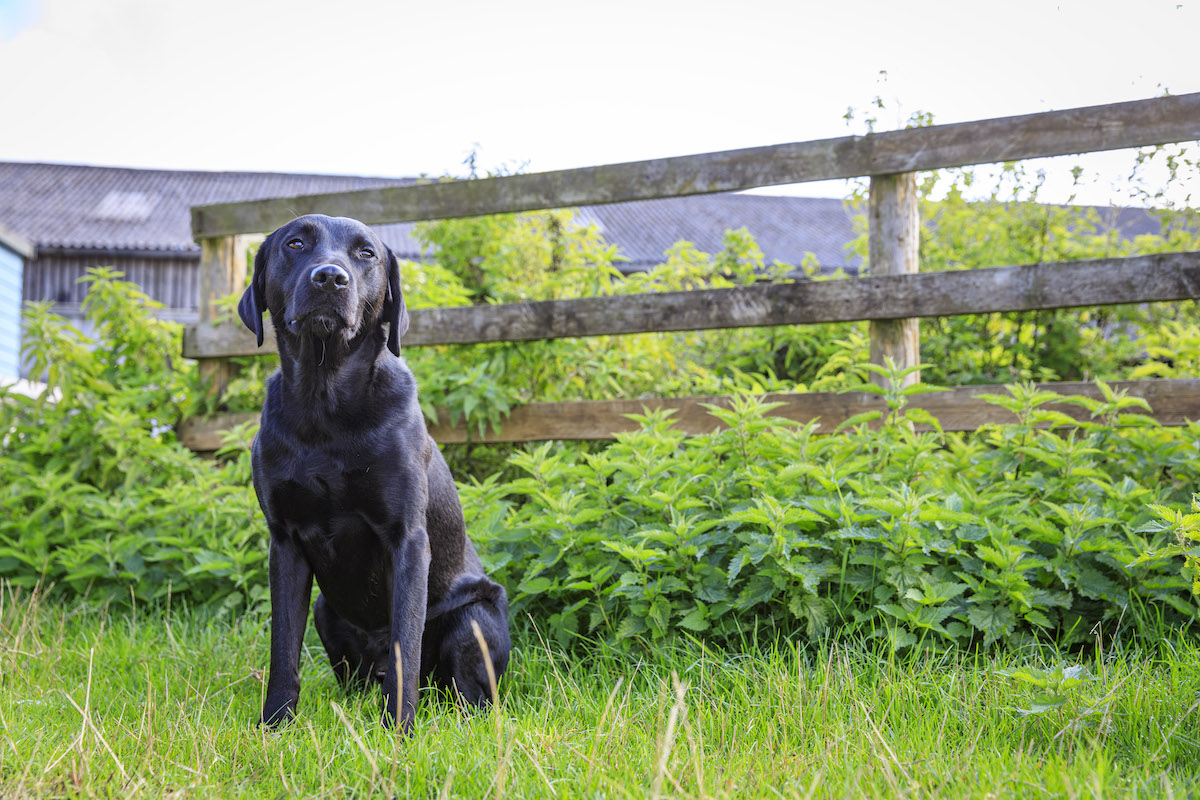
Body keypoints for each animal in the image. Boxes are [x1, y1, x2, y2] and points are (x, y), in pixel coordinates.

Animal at [237, 212, 511, 734]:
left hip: (474, 618)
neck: (325, 404)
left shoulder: (407, 539)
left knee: (469, 696)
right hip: (326, 610)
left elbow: (407, 642)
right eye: (295, 243)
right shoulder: (285, 542)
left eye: (366, 253)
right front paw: (275, 725)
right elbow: (283, 648)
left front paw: (398, 731)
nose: (329, 278)